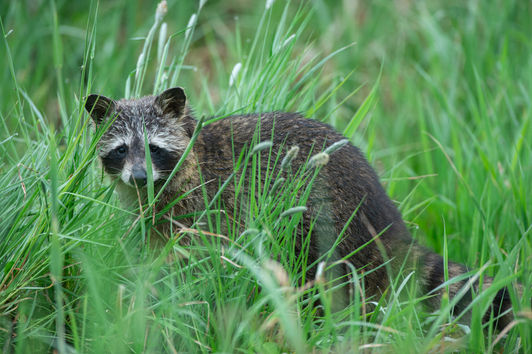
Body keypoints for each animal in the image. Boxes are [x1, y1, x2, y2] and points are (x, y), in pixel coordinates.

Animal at [86, 87, 516, 330]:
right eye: (122, 149)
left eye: (154, 147)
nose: (139, 177)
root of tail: (386, 222)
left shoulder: (205, 203)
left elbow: (197, 259)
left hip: (324, 219)